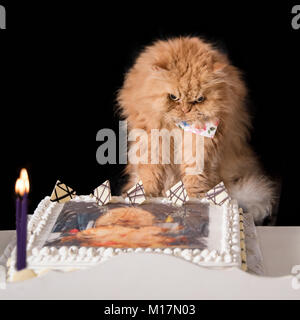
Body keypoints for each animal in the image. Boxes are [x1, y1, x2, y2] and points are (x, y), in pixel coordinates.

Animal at [116, 37, 274, 222]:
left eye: (199, 99)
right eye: (173, 97)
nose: (185, 109)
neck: (179, 128)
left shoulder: (201, 145)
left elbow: (194, 176)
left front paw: (194, 200)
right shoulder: (151, 140)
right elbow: (150, 173)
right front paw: (148, 196)